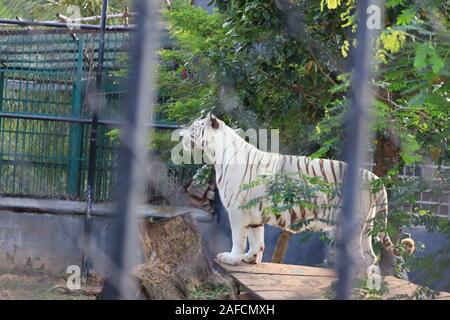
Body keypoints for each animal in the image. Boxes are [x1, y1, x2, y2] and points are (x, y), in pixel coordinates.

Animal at [180, 113, 414, 276]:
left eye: (194, 127)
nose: (181, 135)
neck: (217, 154)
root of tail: (374, 177)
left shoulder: (238, 211)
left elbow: (239, 238)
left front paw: (231, 258)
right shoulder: (254, 213)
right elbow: (256, 239)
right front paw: (250, 259)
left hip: (352, 225)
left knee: (361, 258)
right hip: (366, 226)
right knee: (370, 256)